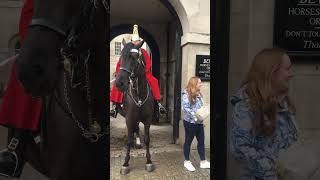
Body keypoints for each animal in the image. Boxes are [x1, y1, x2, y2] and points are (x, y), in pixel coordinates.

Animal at [115, 39, 155, 174]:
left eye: (133, 57)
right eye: (121, 57)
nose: (119, 83)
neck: (139, 94)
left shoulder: (148, 119)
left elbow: (147, 139)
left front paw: (149, 161)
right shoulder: (129, 119)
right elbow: (128, 140)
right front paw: (125, 163)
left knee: (137, 128)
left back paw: (137, 142)